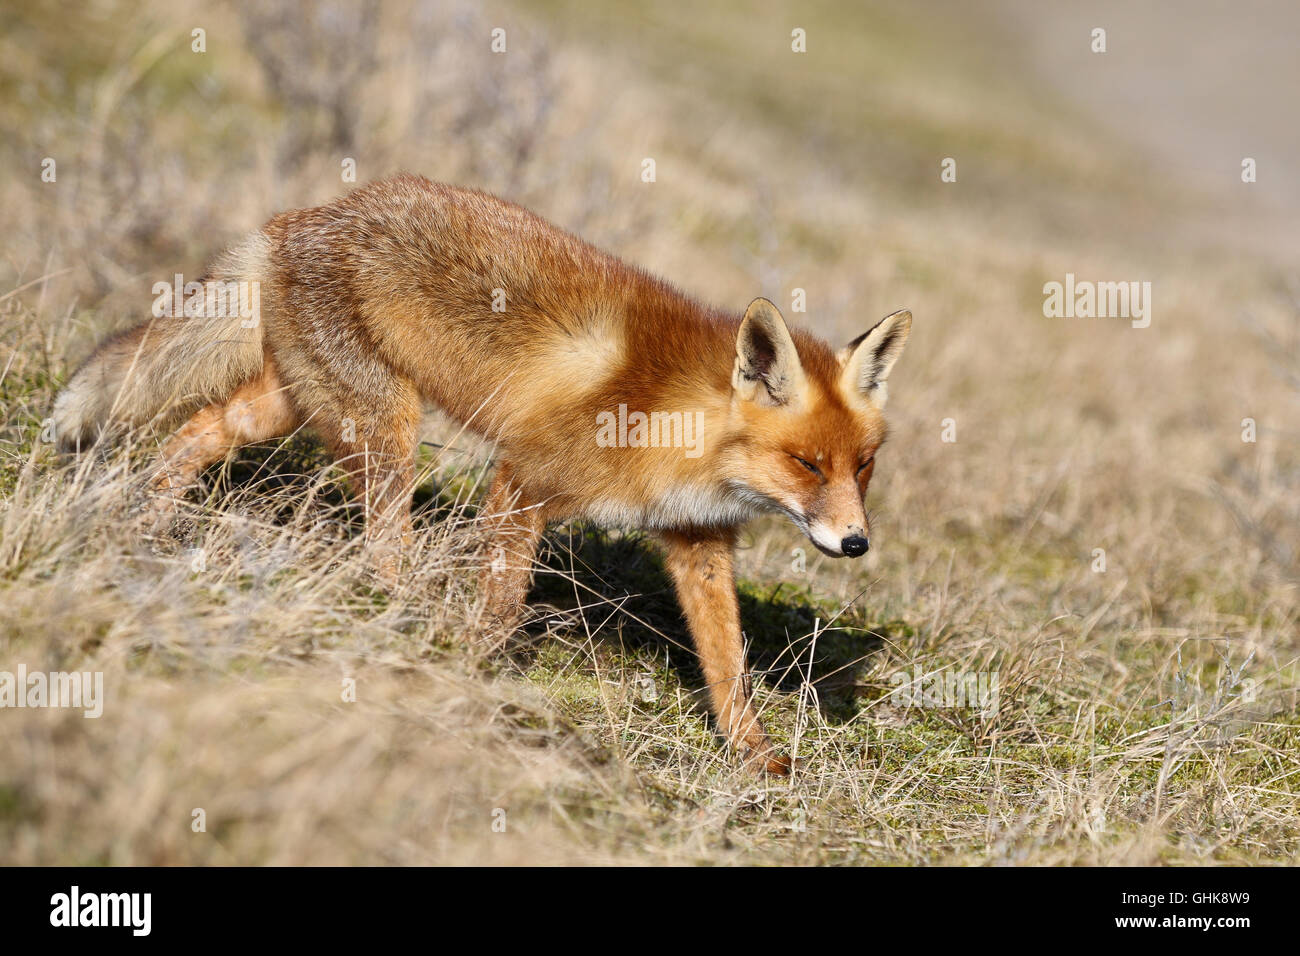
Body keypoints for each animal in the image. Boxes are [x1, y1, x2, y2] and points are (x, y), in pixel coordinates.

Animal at [55, 175, 909, 775]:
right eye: (805, 463)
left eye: (862, 465)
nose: (856, 544)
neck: (684, 425)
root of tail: (301, 216)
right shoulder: (524, 479)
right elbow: (503, 601)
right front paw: (478, 669)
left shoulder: (697, 543)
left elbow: (728, 663)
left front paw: (752, 753)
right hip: (386, 428)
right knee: (380, 541)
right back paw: (395, 607)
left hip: (296, 405)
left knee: (202, 428)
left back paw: (146, 519)